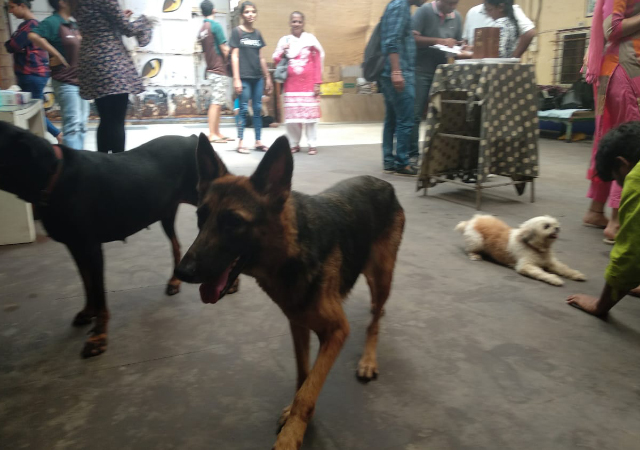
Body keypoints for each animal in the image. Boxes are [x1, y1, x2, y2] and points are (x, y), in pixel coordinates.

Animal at [0, 122, 237, 358]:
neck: (56, 173)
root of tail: (192, 138)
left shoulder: (91, 248)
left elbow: (99, 293)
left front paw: (98, 337)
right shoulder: (75, 246)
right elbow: (87, 284)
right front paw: (88, 312)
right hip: (166, 212)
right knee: (176, 244)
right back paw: (174, 282)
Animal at [175, 134, 405, 450]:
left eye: (233, 222)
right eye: (201, 216)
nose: (182, 272)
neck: (289, 252)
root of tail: (384, 183)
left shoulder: (337, 331)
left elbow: (309, 390)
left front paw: (291, 436)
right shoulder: (298, 325)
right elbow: (304, 375)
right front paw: (296, 417)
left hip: (382, 276)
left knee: (375, 321)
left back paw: (368, 359)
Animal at [455, 214, 586, 286]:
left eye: (555, 223)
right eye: (546, 226)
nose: (557, 228)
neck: (536, 248)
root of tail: (473, 220)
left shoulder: (551, 262)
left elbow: (563, 268)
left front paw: (576, 274)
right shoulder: (526, 266)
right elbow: (541, 273)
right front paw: (554, 279)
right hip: (477, 240)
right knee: (470, 249)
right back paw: (475, 255)